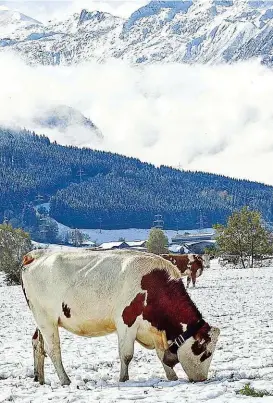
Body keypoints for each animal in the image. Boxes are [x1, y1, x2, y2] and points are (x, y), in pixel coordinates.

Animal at [21, 251, 219, 386]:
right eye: (205, 352)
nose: (202, 379)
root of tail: (36, 255)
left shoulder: (154, 329)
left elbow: (162, 354)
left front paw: (172, 377)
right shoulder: (126, 322)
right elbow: (126, 355)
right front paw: (123, 379)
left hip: (41, 320)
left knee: (37, 343)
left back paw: (40, 378)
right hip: (47, 320)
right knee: (53, 349)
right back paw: (65, 380)